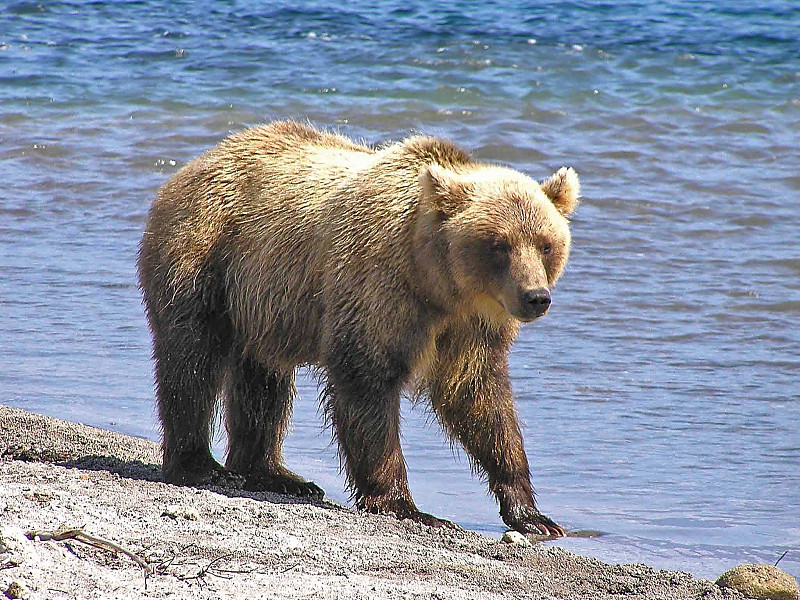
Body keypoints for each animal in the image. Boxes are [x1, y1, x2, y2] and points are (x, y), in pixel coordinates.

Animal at [136, 120, 576, 536]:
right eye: (499, 245)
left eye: (545, 243)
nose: (536, 297)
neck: (437, 283)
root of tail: (193, 164)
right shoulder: (376, 287)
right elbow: (366, 379)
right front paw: (406, 505)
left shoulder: (471, 328)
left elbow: (477, 396)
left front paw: (531, 513)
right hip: (207, 255)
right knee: (193, 358)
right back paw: (199, 464)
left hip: (262, 303)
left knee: (263, 380)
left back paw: (274, 473)